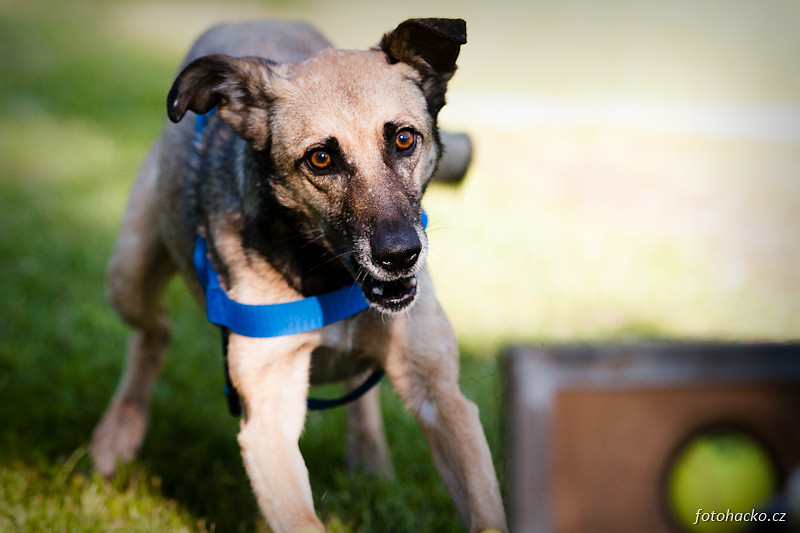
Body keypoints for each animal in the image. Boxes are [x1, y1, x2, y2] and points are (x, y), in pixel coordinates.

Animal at [90, 17, 506, 532]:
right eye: (320, 159)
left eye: (404, 139)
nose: (399, 255)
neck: (328, 277)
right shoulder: (268, 418)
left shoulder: (445, 399)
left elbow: (486, 512)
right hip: (128, 276)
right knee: (155, 332)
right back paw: (118, 434)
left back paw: (369, 461)